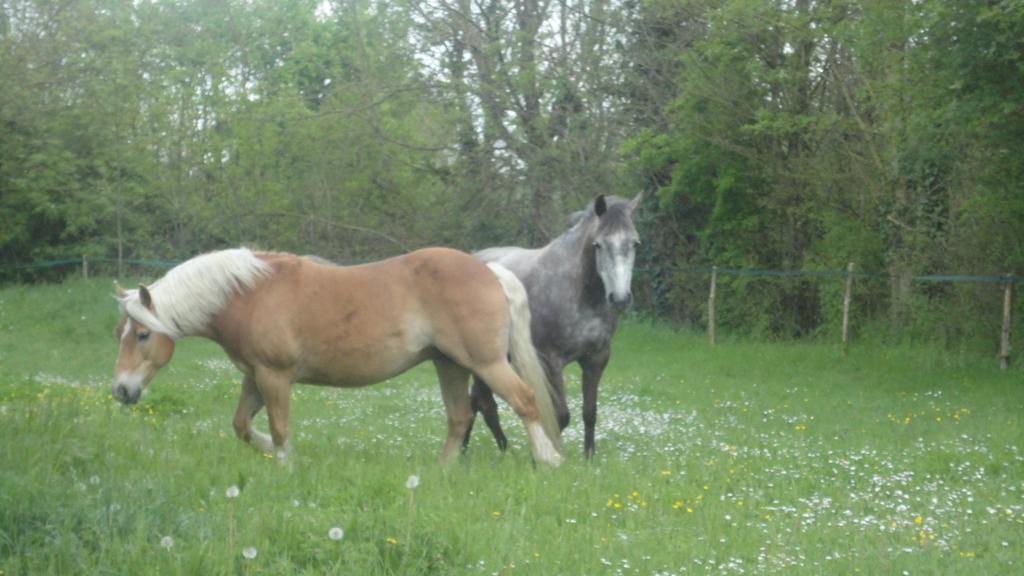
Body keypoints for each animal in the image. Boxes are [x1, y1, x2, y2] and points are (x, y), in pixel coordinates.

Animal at [110, 247, 569, 467]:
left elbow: (279, 428)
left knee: (525, 401)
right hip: (450, 365)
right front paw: (269, 452)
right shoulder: (254, 376)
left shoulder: (274, 376)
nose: (120, 390)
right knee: (460, 418)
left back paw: (548, 460)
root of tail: (489, 269)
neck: (249, 294)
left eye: (143, 334)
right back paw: (443, 471)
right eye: (120, 334)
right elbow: (242, 426)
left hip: (485, 363)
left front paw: (285, 465)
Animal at [462, 193, 638, 457]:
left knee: (478, 402)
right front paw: (554, 454)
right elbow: (560, 416)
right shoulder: (550, 361)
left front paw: (589, 457)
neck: (580, 294)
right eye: (598, 245)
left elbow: (590, 413)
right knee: (478, 403)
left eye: (635, 244)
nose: (619, 299)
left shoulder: (596, 359)